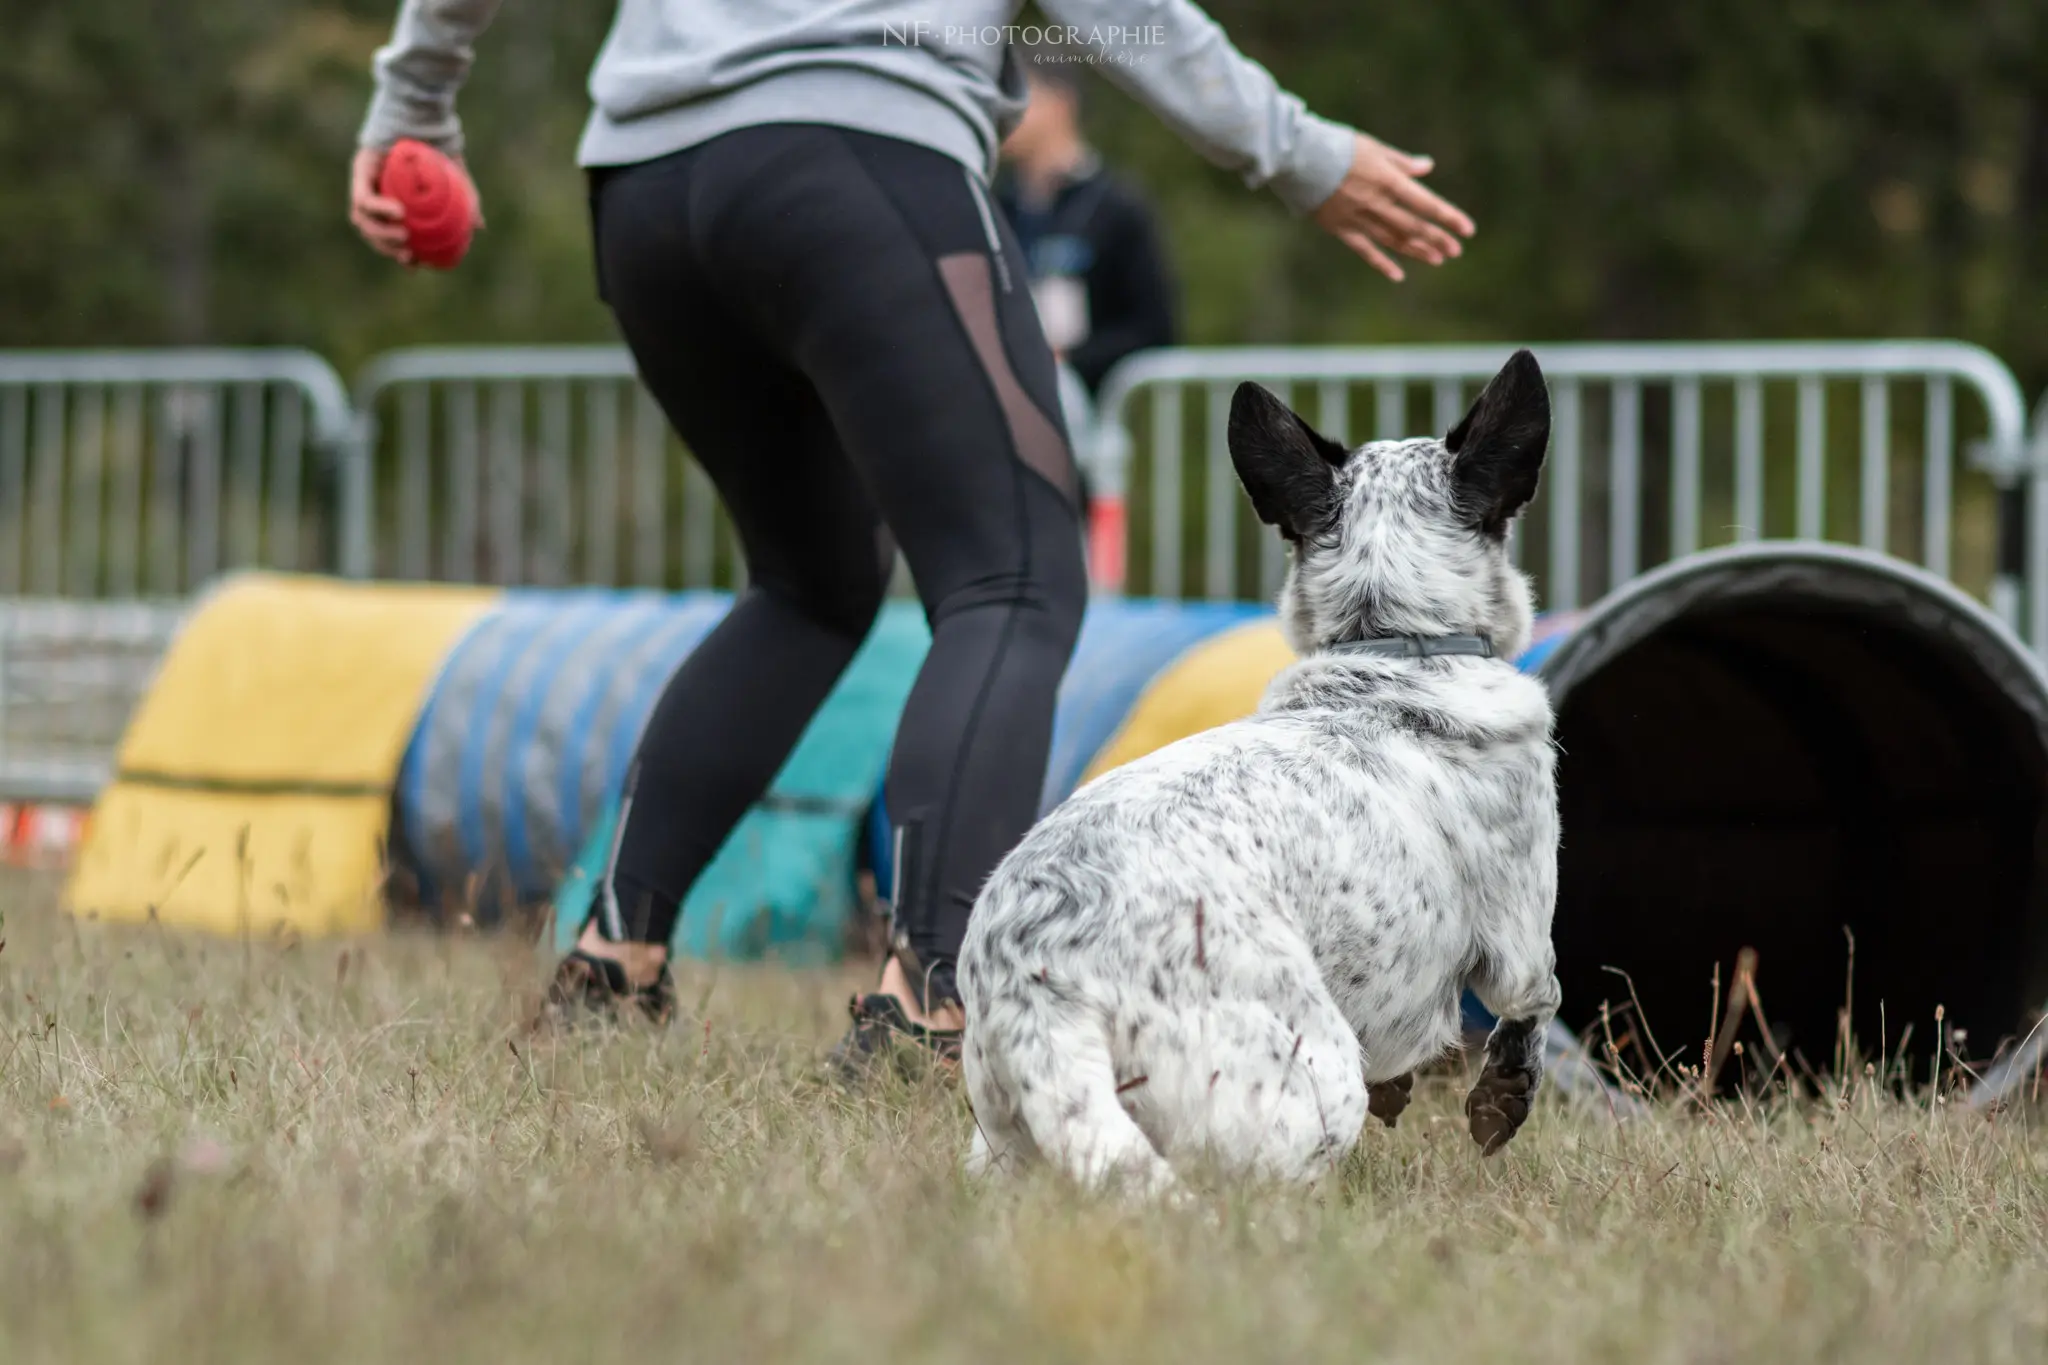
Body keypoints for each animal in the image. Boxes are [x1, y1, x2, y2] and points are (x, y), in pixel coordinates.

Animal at [950, 351, 1556, 1195]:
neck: (1395, 644)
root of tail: (1038, 990)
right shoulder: (1521, 936)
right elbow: (1537, 1001)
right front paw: (1503, 1097)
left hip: (1007, 1139)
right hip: (1315, 1074)